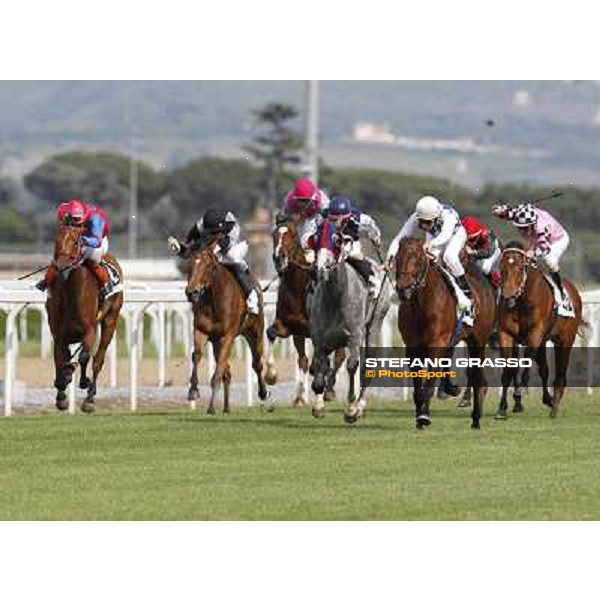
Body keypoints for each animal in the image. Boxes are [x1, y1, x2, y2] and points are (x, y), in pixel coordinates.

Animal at [46, 224, 123, 412]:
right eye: (56, 240)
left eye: (75, 241)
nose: (61, 265)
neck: (71, 294)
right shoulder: (59, 334)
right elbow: (60, 358)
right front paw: (61, 394)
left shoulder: (90, 329)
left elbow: (83, 357)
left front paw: (83, 382)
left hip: (110, 320)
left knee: (98, 360)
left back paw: (89, 399)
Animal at [186, 239, 268, 412]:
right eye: (190, 264)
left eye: (208, 266)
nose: (191, 292)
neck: (214, 301)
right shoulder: (201, 331)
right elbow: (197, 355)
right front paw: (193, 390)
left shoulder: (227, 336)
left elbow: (217, 373)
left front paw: (211, 408)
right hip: (217, 342)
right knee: (227, 372)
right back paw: (226, 407)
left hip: (255, 333)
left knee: (257, 364)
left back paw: (263, 392)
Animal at [266, 213, 344, 406]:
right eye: (273, 235)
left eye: (293, 235)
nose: (279, 258)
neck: (297, 289)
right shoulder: (292, 328)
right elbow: (271, 333)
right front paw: (271, 376)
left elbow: (319, 362)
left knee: (338, 357)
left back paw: (329, 391)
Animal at [394, 237, 496, 428]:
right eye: (397, 257)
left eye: (418, 258)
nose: (403, 289)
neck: (422, 304)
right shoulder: (412, 348)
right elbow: (418, 387)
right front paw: (420, 415)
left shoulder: (437, 344)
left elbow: (429, 383)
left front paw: (423, 416)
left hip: (478, 341)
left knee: (478, 377)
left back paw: (476, 417)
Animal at [494, 243, 584, 418]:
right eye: (501, 267)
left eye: (519, 267)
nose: (508, 296)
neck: (522, 301)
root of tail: (573, 290)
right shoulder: (506, 334)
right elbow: (508, 370)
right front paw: (501, 409)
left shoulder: (534, 335)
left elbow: (526, 364)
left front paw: (519, 394)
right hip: (543, 342)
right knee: (544, 370)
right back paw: (548, 400)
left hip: (565, 339)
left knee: (560, 372)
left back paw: (555, 405)